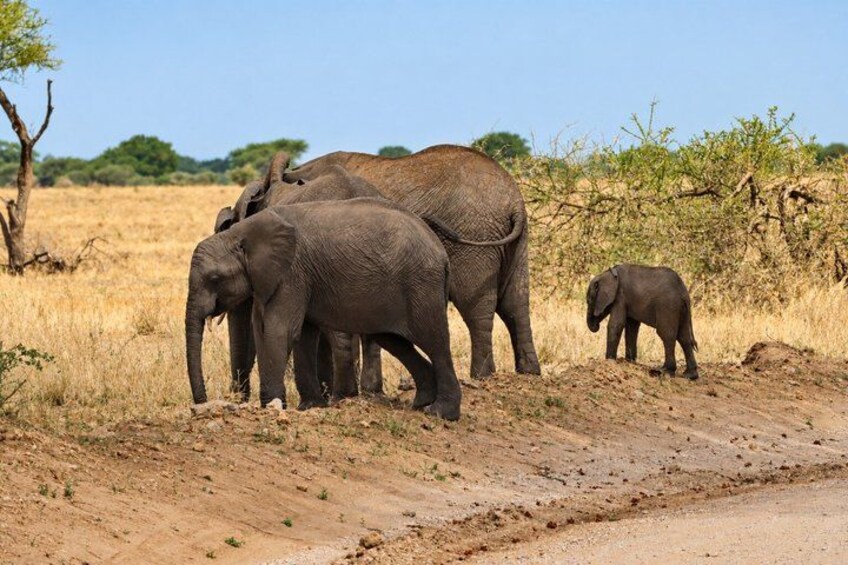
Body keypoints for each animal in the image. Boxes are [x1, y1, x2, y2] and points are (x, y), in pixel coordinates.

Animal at [186, 197, 463, 421]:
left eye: (214, 279)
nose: (202, 405)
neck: (240, 233)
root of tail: (440, 250)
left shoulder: (291, 273)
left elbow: (278, 330)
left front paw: (272, 408)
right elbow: (295, 334)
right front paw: (309, 407)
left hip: (421, 284)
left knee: (435, 340)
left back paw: (441, 413)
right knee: (393, 340)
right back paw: (420, 403)